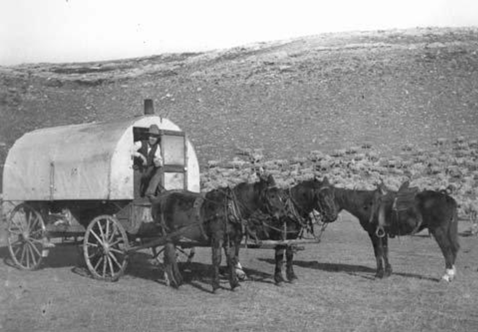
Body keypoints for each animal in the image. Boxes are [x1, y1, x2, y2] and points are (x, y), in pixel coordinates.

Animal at [150, 175, 284, 292]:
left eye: (281, 195)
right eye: (272, 196)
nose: (282, 215)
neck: (230, 208)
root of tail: (160, 198)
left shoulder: (233, 239)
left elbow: (232, 259)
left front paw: (234, 283)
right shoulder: (217, 238)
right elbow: (217, 259)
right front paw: (216, 286)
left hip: (174, 236)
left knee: (169, 255)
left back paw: (173, 280)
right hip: (167, 233)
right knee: (171, 255)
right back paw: (175, 281)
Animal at [332, 183, 460, 282]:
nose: (331, 217)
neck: (366, 204)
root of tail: (448, 198)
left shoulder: (373, 233)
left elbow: (378, 252)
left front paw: (379, 274)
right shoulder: (382, 233)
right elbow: (385, 251)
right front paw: (387, 272)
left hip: (439, 231)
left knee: (447, 249)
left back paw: (446, 276)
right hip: (449, 231)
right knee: (454, 248)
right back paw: (451, 275)